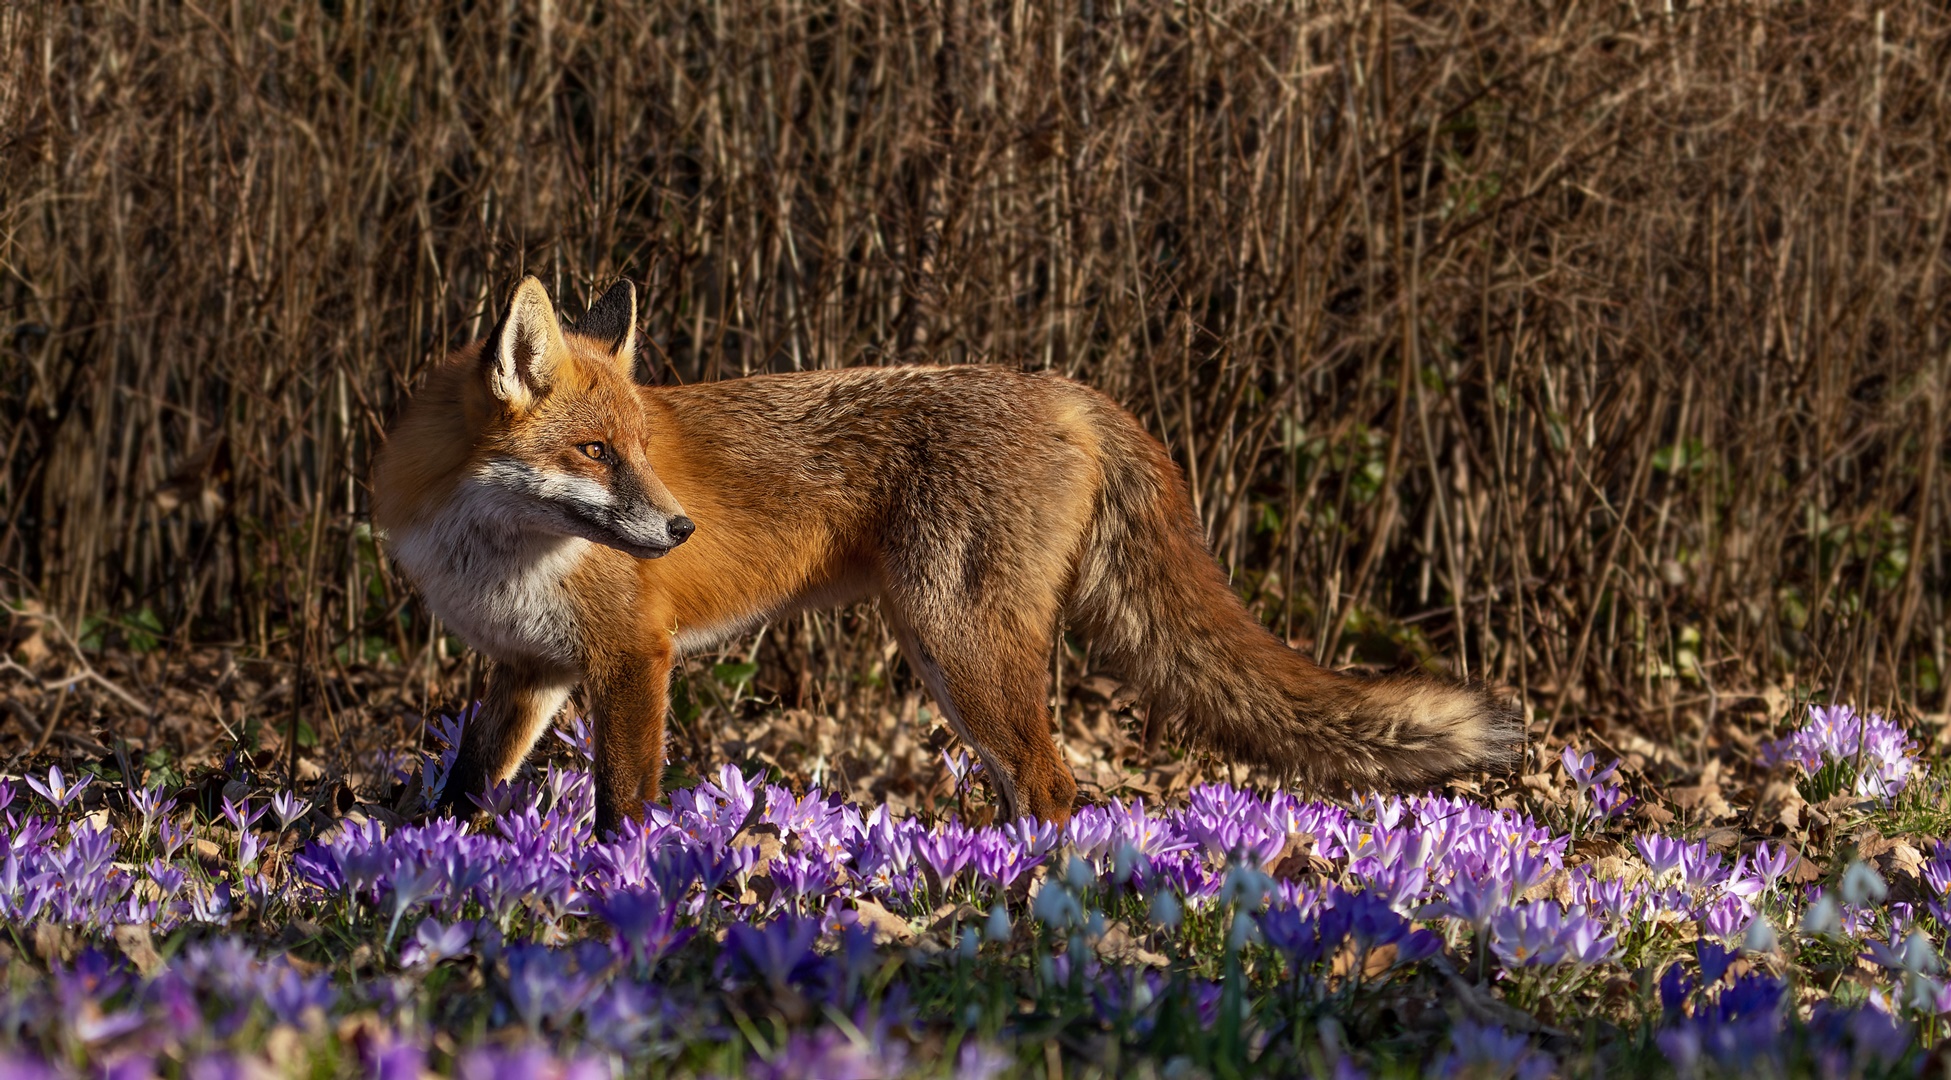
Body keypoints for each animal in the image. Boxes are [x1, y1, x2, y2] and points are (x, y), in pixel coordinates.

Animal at [366, 276, 1521, 830]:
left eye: (641, 449)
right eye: (596, 452)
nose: (681, 530)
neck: (499, 553)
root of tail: (1063, 388)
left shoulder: (630, 660)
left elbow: (623, 807)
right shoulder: (530, 669)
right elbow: (463, 791)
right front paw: (438, 867)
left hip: (958, 648)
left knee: (1054, 790)